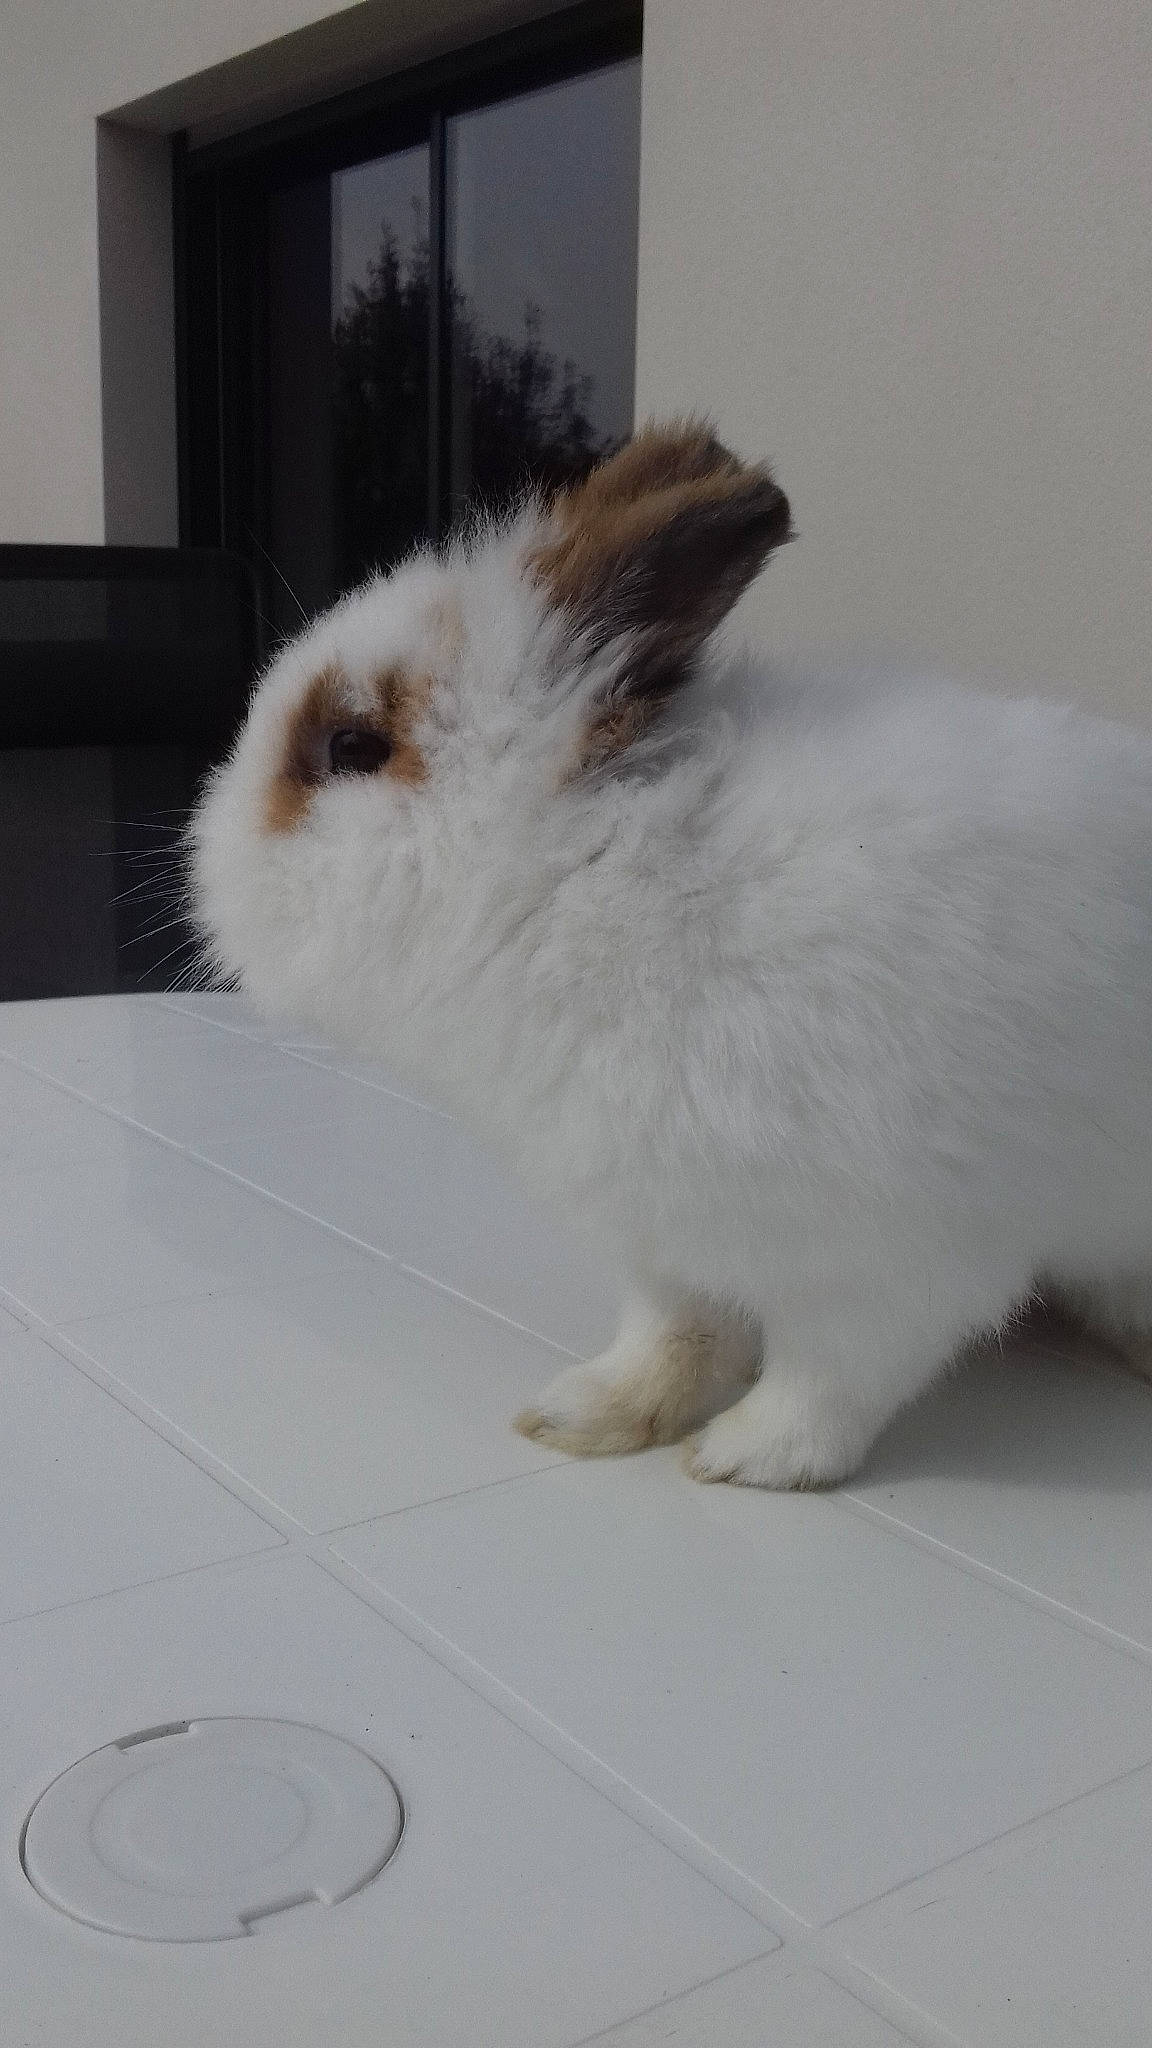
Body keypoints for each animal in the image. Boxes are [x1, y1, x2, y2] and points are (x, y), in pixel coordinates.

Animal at [191, 419, 1152, 1489]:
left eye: (354, 746)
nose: (204, 861)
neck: (585, 876)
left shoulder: (894, 1258)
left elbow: (828, 1381)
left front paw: (743, 1459)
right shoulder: (664, 1238)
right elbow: (676, 1339)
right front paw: (584, 1416)